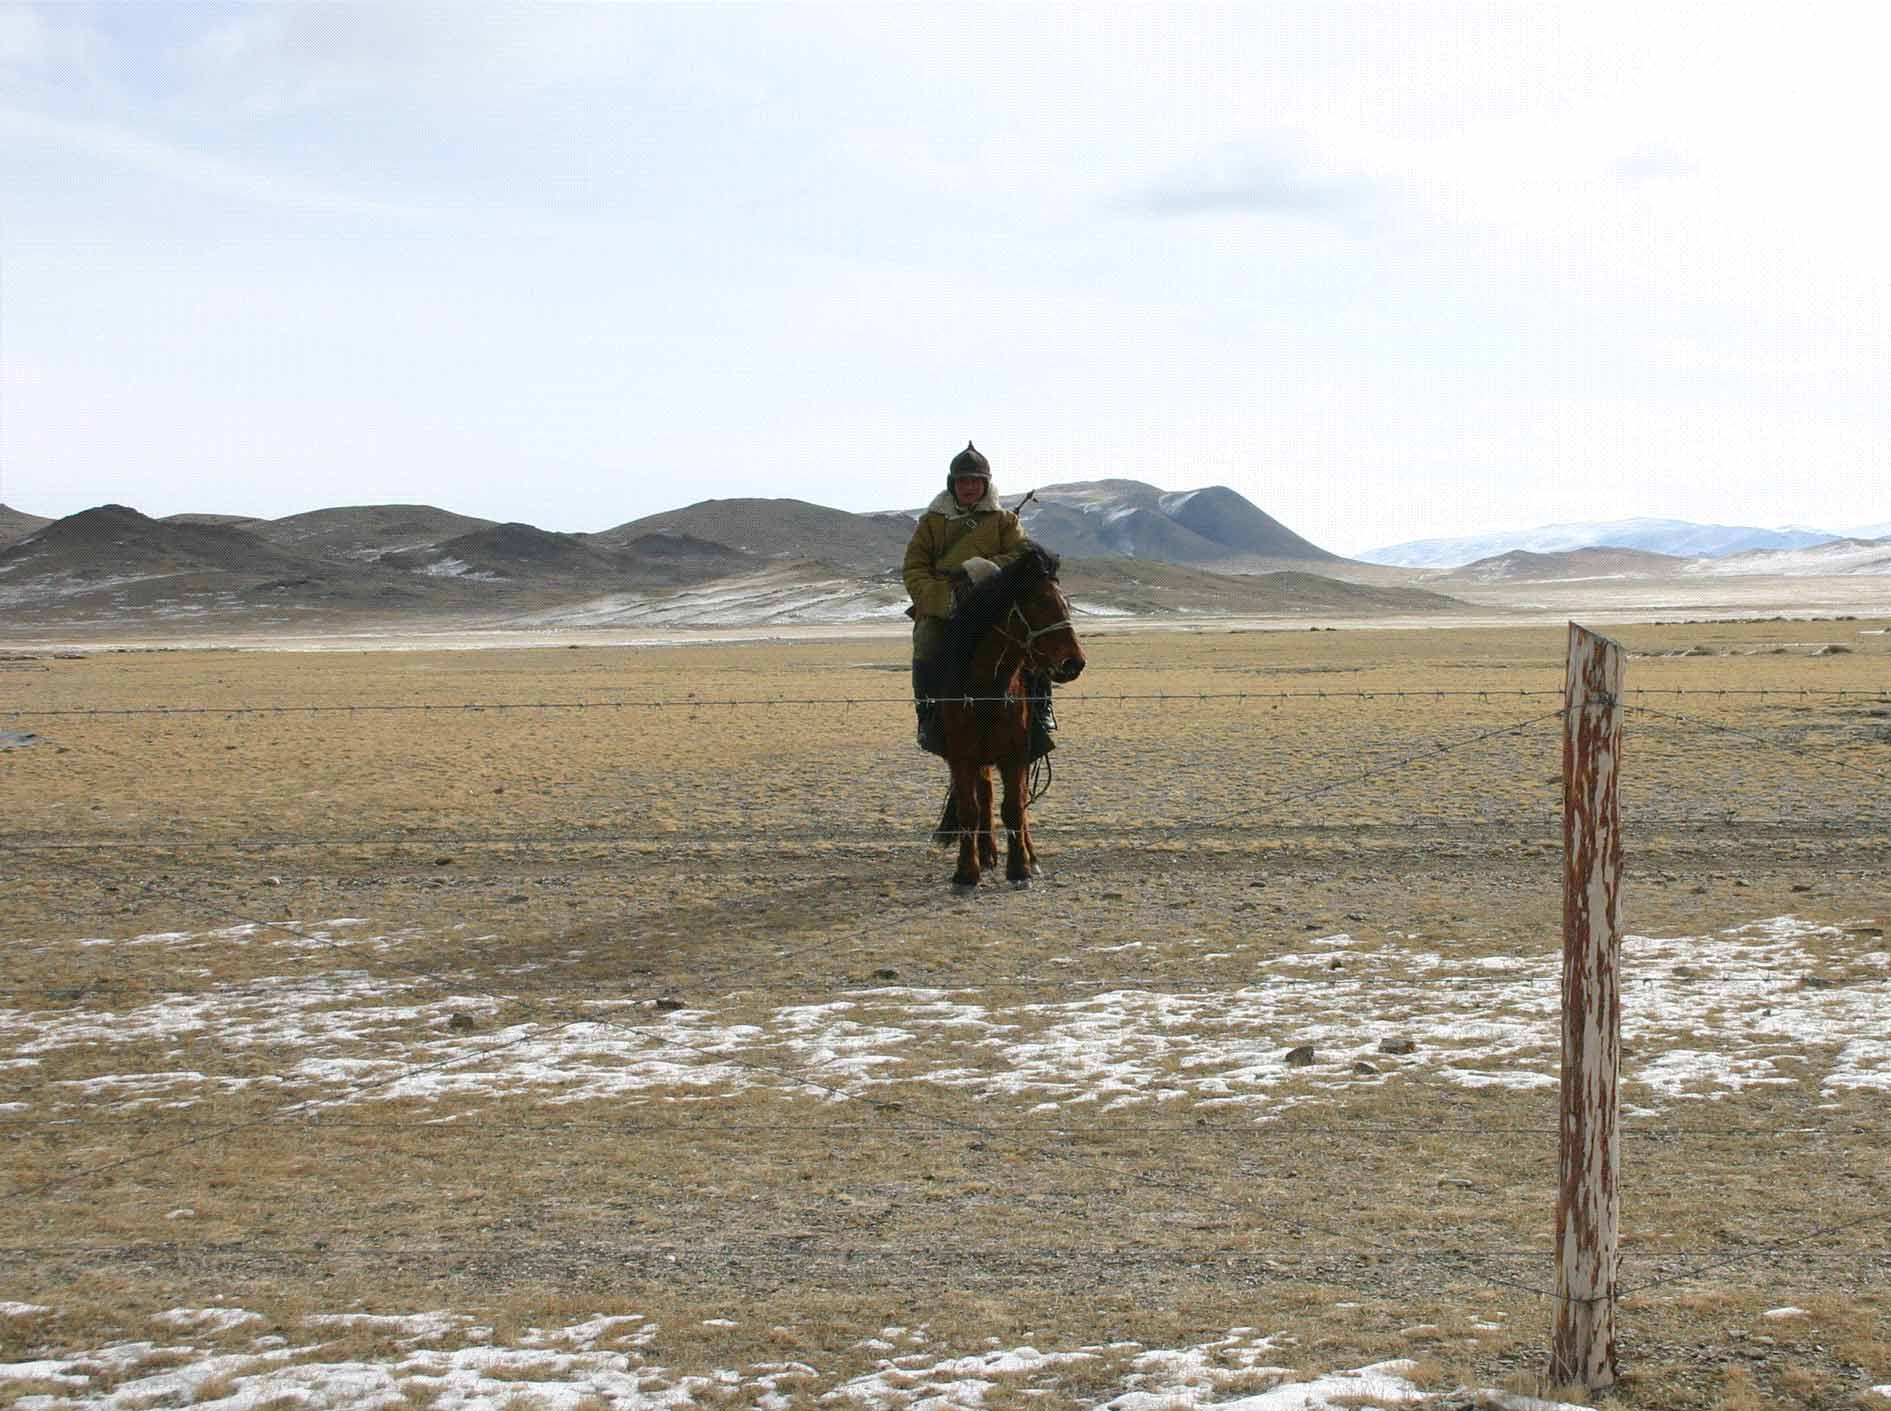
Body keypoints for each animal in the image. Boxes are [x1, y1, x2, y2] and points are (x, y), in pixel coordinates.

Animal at [926, 540, 1089, 885]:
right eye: (1040, 602)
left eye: (1066, 602)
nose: (1074, 663)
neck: (986, 689)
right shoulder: (961, 756)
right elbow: (970, 809)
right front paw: (966, 872)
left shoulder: (1016, 754)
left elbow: (1014, 808)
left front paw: (1020, 869)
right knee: (985, 797)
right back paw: (987, 854)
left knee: (1018, 803)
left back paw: (1029, 856)